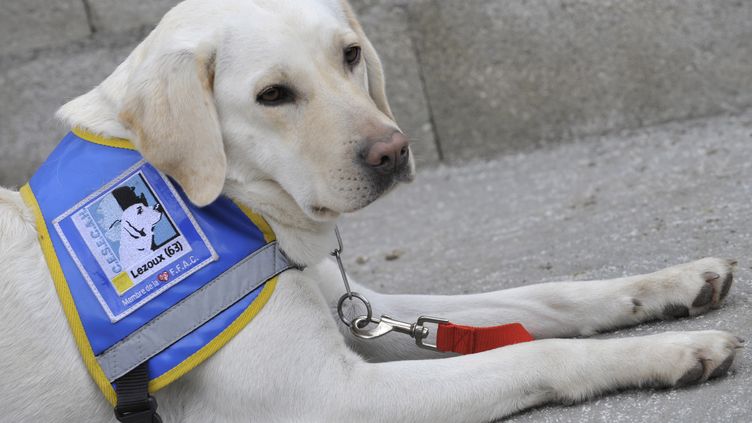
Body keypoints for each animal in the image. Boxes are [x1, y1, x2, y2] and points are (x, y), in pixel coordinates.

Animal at [0, 0, 740, 423]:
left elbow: (548, 297)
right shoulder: (326, 398)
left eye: (350, 54)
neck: (246, 207)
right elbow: (537, 353)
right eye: (273, 94)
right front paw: (670, 351)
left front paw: (670, 284)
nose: (393, 150)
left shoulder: (366, 308)